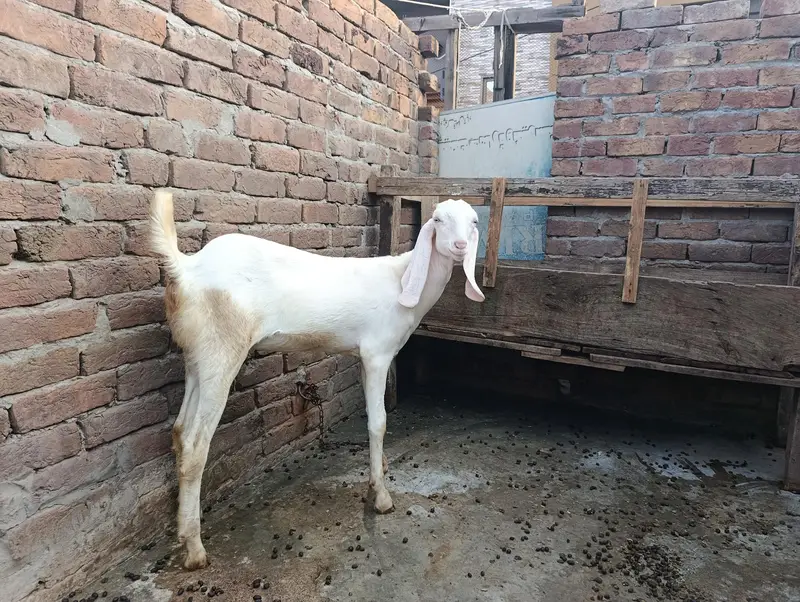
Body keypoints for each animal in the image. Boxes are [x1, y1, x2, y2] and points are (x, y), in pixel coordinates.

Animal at [149, 189, 485, 569]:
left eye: (474, 221)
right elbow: (378, 422)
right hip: (221, 350)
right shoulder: (377, 354)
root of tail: (186, 268)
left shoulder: (363, 356)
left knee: (179, 432)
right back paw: (194, 548)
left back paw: (182, 528)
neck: (402, 279)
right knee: (195, 444)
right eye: (438, 219)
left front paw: (380, 468)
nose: (459, 245)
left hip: (196, 357)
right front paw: (381, 495)